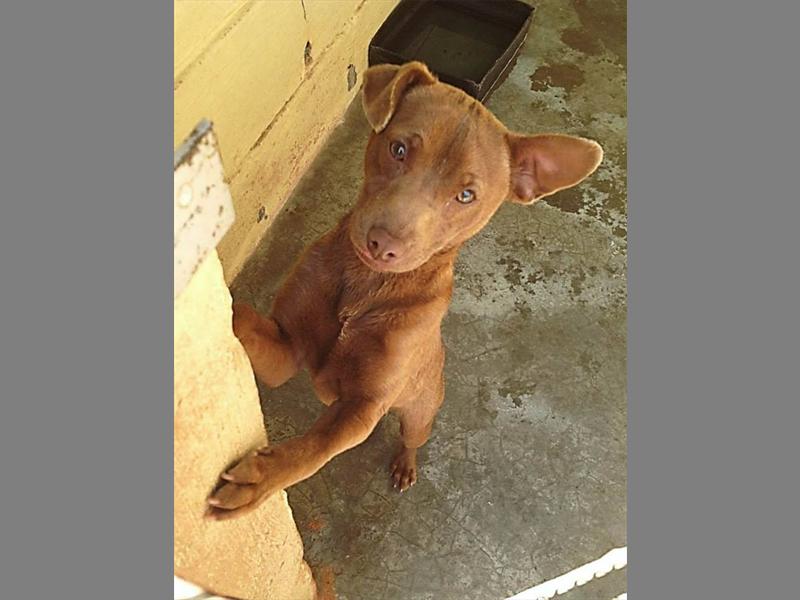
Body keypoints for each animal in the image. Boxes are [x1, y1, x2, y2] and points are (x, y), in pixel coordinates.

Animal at [207, 61, 602, 520]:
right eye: (398, 150)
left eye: (466, 195)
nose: (383, 243)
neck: (366, 286)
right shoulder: (286, 350)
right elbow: (244, 319)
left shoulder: (362, 410)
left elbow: (315, 449)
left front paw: (261, 479)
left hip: (419, 416)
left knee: (410, 439)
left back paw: (405, 466)